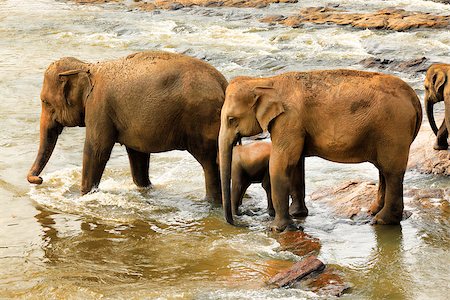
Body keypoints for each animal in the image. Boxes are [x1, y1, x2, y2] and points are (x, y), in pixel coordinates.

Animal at [26, 51, 227, 204]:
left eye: (45, 102)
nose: (40, 179)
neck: (86, 66)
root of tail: (223, 84)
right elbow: (138, 155)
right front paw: (145, 189)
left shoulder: (99, 107)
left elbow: (96, 150)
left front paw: (82, 197)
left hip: (202, 119)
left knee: (210, 163)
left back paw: (212, 203)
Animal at [218, 69, 422, 231]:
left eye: (231, 119)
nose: (236, 223)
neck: (266, 82)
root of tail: (414, 98)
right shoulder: (295, 126)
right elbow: (296, 164)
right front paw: (297, 214)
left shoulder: (288, 120)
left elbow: (281, 164)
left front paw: (278, 229)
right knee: (383, 170)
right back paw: (373, 211)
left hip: (393, 129)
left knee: (391, 172)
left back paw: (382, 221)